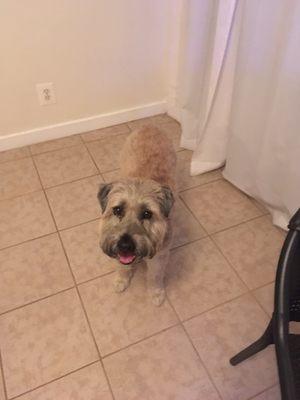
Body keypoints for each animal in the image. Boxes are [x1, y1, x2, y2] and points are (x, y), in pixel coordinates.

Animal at [96, 126, 176, 306]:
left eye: (147, 213)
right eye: (118, 210)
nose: (125, 245)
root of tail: (150, 126)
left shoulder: (160, 256)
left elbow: (155, 276)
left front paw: (155, 292)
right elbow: (122, 266)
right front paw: (121, 280)